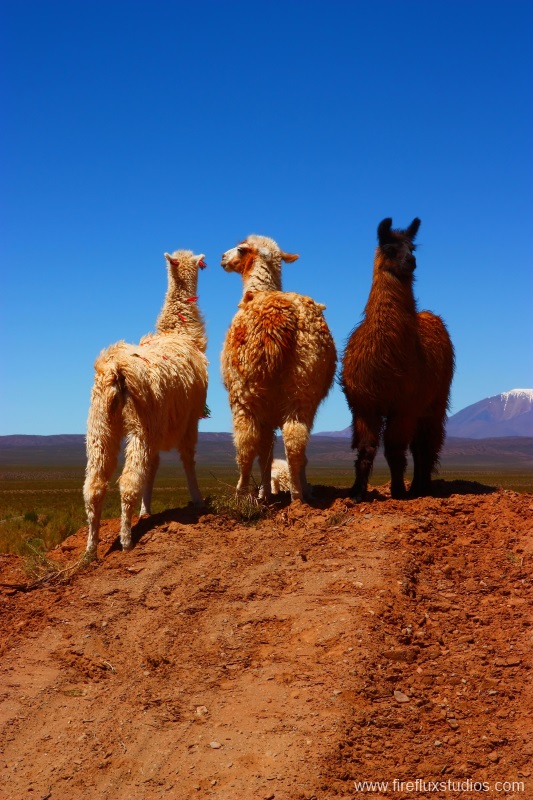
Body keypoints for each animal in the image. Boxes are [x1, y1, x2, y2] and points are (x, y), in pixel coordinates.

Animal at [83, 250, 208, 556]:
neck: (180, 333)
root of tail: (116, 369)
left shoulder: (160, 429)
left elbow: (153, 469)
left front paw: (146, 510)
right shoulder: (189, 420)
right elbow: (187, 460)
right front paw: (197, 499)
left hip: (100, 427)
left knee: (94, 486)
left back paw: (91, 548)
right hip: (142, 425)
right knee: (128, 482)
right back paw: (126, 540)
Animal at [221, 235, 337, 503]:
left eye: (240, 249)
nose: (222, 258)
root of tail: (278, 316)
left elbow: (262, 450)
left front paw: (263, 494)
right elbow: (268, 450)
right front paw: (269, 492)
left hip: (245, 390)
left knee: (245, 443)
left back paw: (240, 494)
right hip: (304, 381)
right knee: (296, 437)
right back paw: (298, 495)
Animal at [340, 218, 455, 501]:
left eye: (411, 247)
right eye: (390, 248)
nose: (411, 261)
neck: (386, 360)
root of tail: (429, 315)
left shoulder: (404, 404)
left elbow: (394, 449)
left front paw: (399, 491)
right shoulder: (363, 405)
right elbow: (367, 448)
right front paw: (357, 493)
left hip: (435, 400)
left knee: (427, 443)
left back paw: (421, 486)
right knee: (420, 444)